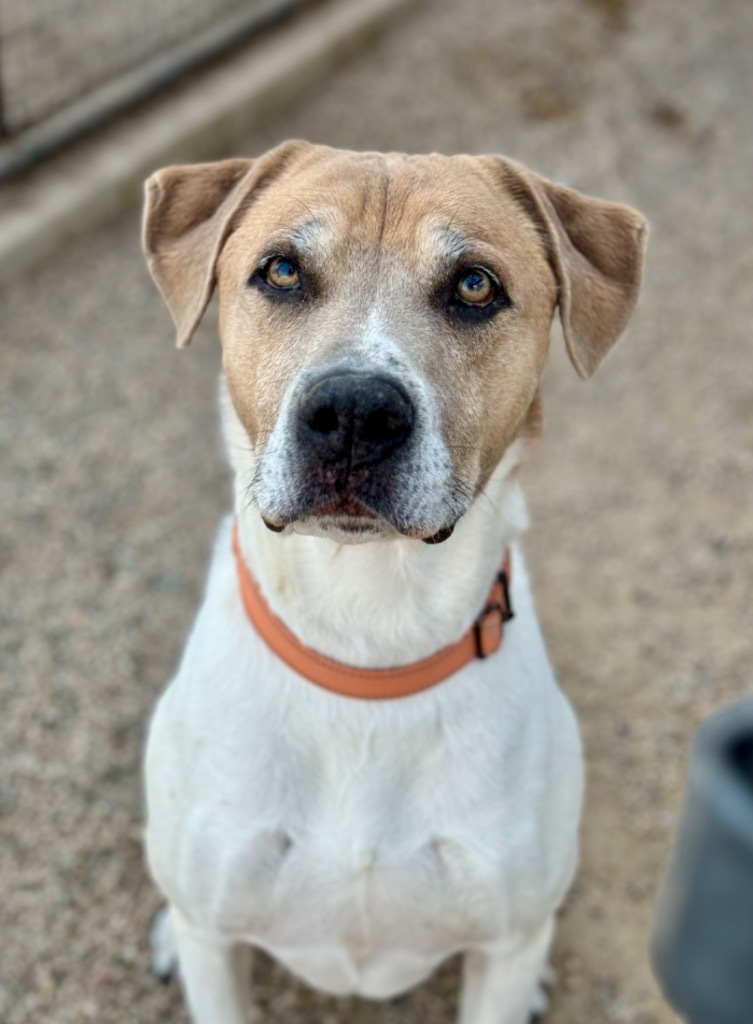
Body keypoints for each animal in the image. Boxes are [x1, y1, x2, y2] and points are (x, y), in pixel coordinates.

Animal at [142, 138, 647, 1024]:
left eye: (475, 286)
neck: (367, 646)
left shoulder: (503, 946)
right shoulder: (216, 936)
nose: (352, 412)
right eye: (281, 271)